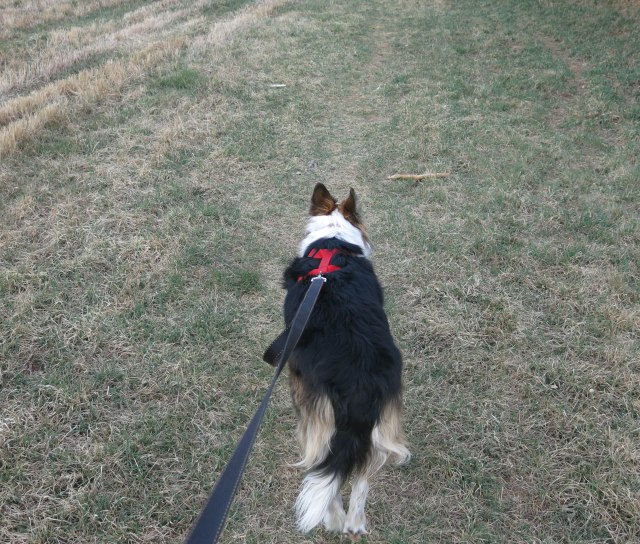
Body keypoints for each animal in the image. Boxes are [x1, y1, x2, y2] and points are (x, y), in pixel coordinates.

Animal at [281, 183, 410, 538]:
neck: (333, 241)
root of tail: (357, 380)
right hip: (379, 420)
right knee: (362, 472)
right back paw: (353, 523)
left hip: (316, 414)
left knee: (323, 468)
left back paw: (333, 518)